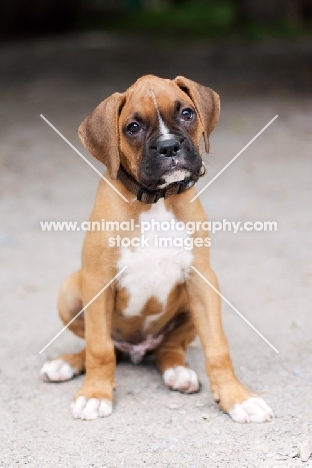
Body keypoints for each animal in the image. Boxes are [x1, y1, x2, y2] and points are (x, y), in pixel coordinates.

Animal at [40, 75, 272, 422]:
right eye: (133, 127)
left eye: (187, 113)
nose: (168, 146)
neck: (156, 200)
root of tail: (137, 351)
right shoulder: (97, 281)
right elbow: (99, 348)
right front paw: (95, 393)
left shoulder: (201, 279)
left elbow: (217, 347)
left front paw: (237, 397)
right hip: (71, 289)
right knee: (106, 346)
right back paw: (65, 364)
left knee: (169, 349)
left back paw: (179, 372)